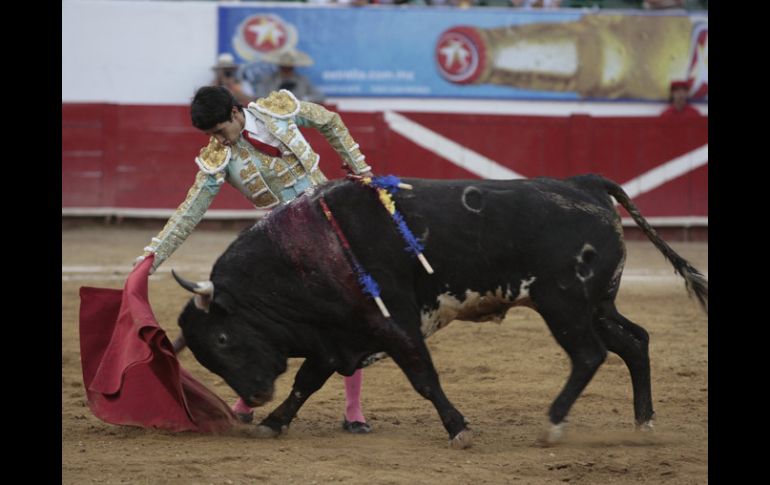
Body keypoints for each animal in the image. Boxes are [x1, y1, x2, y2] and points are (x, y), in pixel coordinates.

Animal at [171, 173, 704, 446]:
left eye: (223, 338)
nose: (254, 395)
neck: (311, 252)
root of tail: (586, 185)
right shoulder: (336, 334)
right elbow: (307, 382)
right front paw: (275, 421)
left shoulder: (392, 322)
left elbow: (424, 378)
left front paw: (459, 428)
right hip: (597, 304)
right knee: (635, 341)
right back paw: (644, 423)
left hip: (564, 303)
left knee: (590, 355)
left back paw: (554, 423)